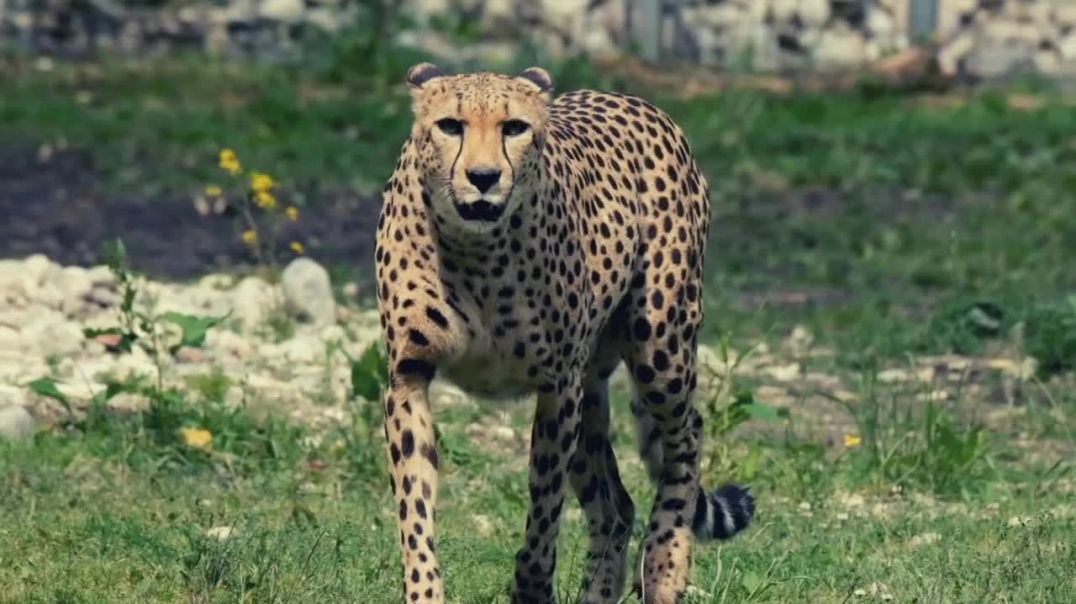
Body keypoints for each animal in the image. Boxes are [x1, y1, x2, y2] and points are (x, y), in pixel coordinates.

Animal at [374, 62, 755, 604]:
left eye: (514, 127)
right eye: (450, 125)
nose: (483, 178)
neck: (475, 250)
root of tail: (631, 99)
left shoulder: (556, 386)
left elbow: (543, 509)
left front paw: (531, 587)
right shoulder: (408, 376)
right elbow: (415, 506)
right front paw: (424, 589)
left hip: (659, 346)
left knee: (687, 437)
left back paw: (665, 565)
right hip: (591, 390)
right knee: (616, 507)